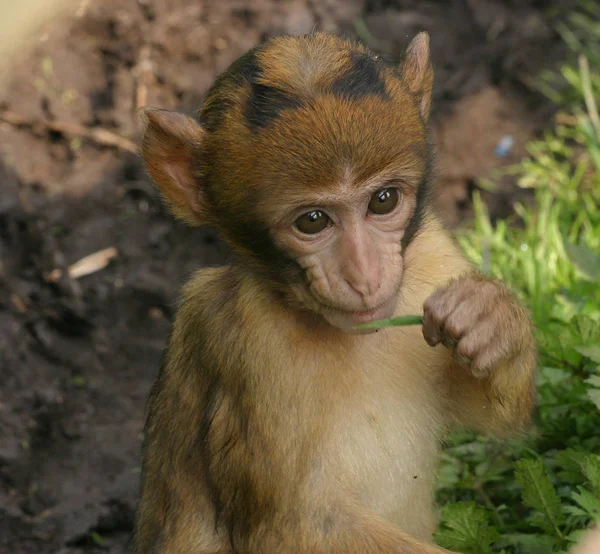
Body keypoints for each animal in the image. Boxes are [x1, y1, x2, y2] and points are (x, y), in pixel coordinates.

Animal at [134, 31, 536, 552]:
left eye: (383, 200)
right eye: (312, 221)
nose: (365, 275)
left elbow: (486, 413)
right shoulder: (250, 348)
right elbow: (294, 528)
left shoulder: (431, 255)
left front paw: (488, 317)